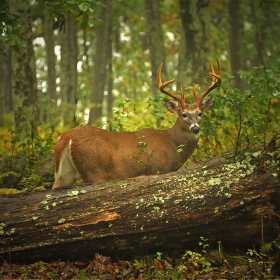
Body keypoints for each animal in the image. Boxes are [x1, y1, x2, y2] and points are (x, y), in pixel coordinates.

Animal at [52, 58, 221, 188]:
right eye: (184, 114)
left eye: (200, 113)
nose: (195, 128)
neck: (172, 142)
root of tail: (67, 137)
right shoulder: (159, 169)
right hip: (93, 170)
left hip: (65, 173)